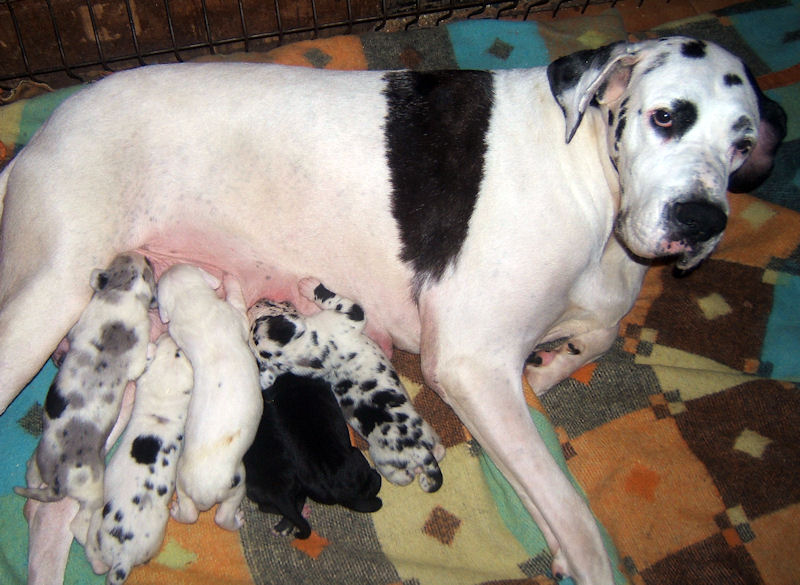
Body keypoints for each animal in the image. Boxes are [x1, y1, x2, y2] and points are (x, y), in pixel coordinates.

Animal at [14, 253, 156, 542]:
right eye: (148, 266)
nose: (147, 255)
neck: (121, 291)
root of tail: (56, 484)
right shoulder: (138, 343)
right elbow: (140, 361)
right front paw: (152, 350)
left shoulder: (82, 322)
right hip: (92, 489)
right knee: (78, 523)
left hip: (40, 456)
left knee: (31, 470)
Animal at [156, 264, 262, 531]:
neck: (191, 303)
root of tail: (204, 494)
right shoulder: (236, 316)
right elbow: (237, 302)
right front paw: (230, 279)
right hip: (237, 486)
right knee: (222, 517)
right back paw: (235, 520)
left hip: (180, 482)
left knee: (190, 513)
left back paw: (178, 511)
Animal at [249, 278, 444, 492]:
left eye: (257, 321)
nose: (251, 306)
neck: (306, 353)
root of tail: (421, 455)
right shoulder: (351, 313)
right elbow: (330, 298)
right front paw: (309, 285)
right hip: (386, 457)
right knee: (406, 475)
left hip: (426, 437)